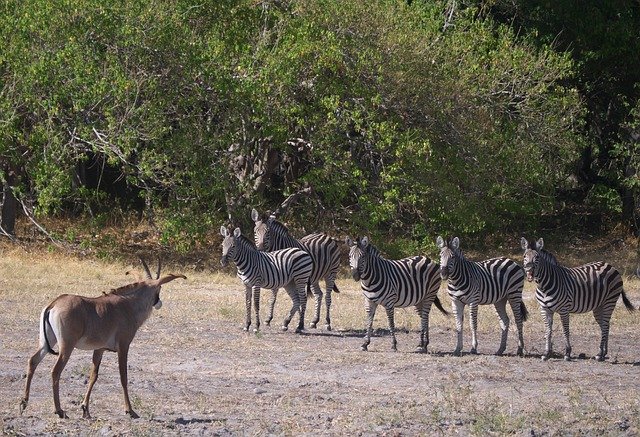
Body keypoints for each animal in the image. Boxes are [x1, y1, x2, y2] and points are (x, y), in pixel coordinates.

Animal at [18, 258, 188, 418]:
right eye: (159, 287)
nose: (159, 302)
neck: (128, 305)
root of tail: (53, 304)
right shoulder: (123, 346)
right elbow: (123, 376)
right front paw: (130, 410)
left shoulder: (99, 349)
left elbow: (93, 376)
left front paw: (85, 409)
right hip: (67, 346)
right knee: (55, 371)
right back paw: (59, 411)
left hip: (47, 342)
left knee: (33, 361)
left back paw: (23, 403)